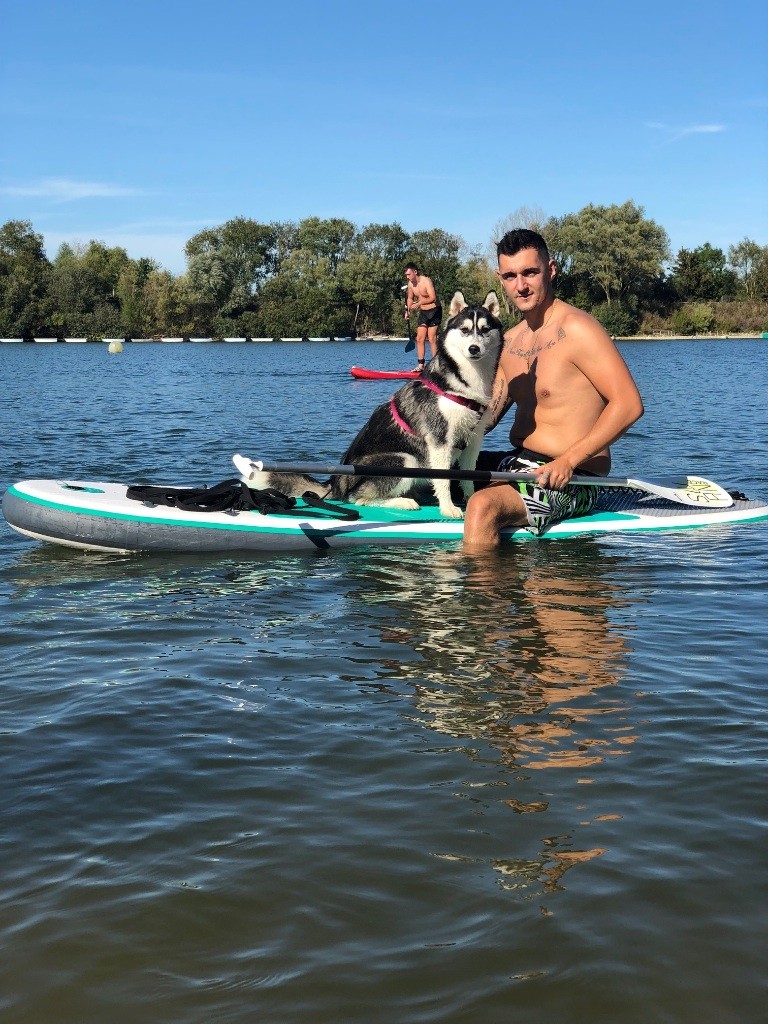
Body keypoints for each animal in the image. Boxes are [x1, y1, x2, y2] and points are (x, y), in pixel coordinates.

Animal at [249, 290, 505, 516]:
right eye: (464, 330)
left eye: (484, 330)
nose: (474, 348)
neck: (464, 381)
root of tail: (335, 482)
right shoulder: (439, 440)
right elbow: (442, 480)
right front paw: (448, 508)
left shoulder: (473, 440)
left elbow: (469, 476)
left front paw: (471, 499)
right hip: (405, 459)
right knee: (359, 498)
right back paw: (402, 502)